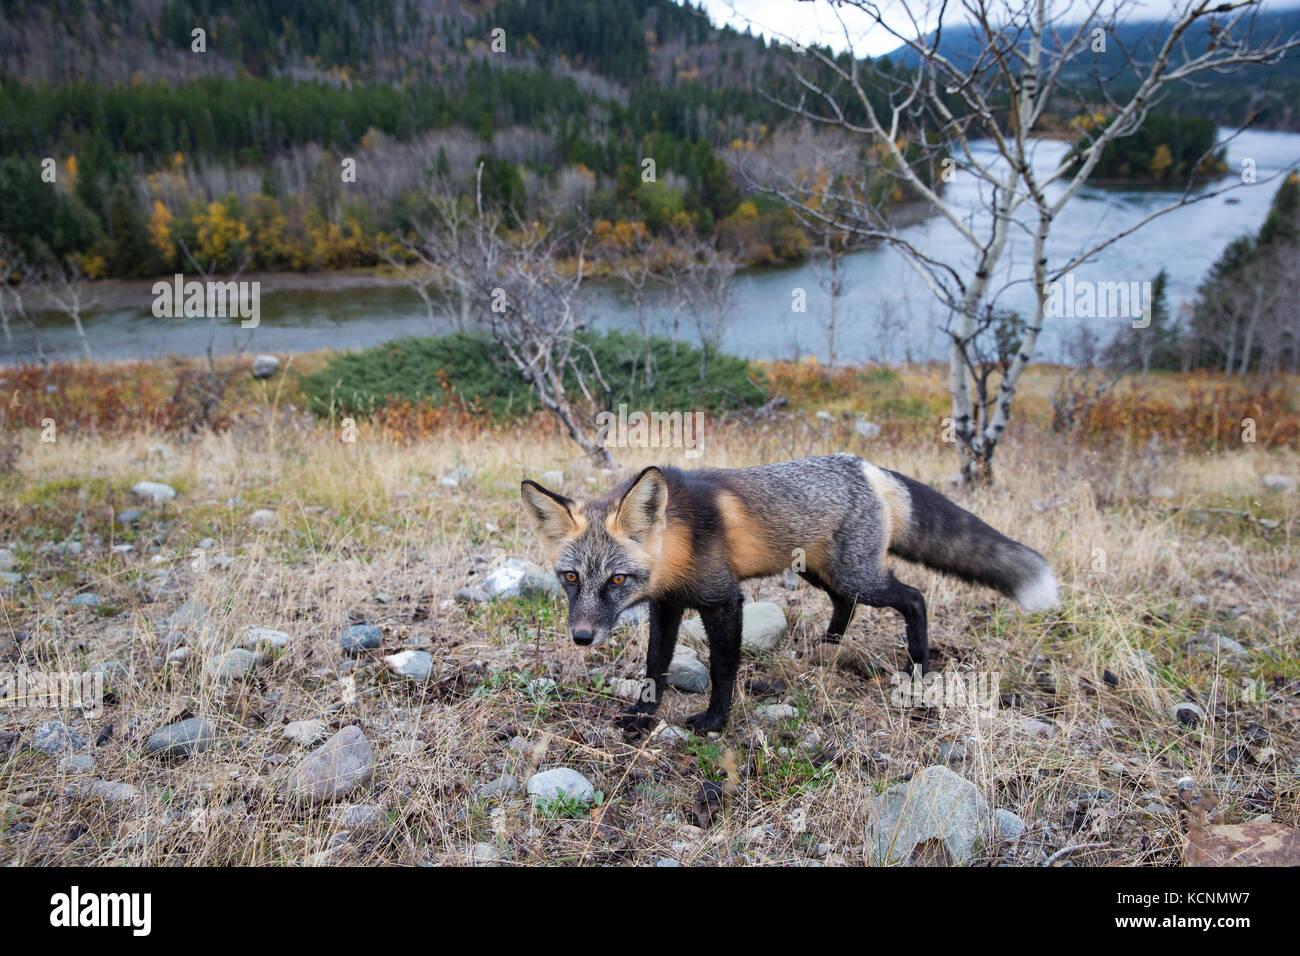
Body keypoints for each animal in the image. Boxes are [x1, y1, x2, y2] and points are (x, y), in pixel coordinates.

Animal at [517, 455, 1055, 733]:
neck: (678, 544)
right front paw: (645, 714)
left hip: (857, 575)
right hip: (823, 573)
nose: (582, 638)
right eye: (570, 578)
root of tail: (868, 466)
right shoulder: (668, 604)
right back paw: (827, 649)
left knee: (915, 597)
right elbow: (656, 664)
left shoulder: (723, 600)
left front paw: (714, 721)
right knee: (845, 605)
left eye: (616, 580)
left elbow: (723, 668)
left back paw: (918, 663)